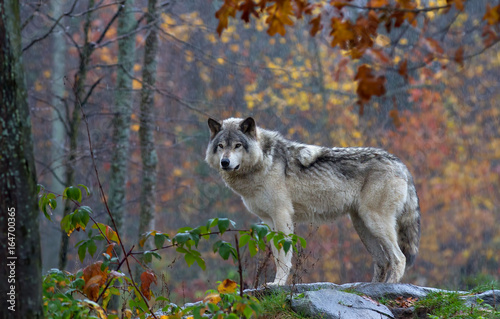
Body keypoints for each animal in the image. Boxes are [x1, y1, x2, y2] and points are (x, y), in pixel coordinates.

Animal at [205, 118, 420, 288]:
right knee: (383, 261)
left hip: (375, 222)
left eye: (237, 146)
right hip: (362, 226)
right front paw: (276, 282)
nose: (225, 162)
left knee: (399, 258)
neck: (264, 162)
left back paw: (389, 286)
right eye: (221, 146)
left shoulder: (282, 215)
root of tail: (401, 164)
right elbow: (276, 255)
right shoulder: (268, 220)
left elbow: (283, 257)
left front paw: (278, 284)